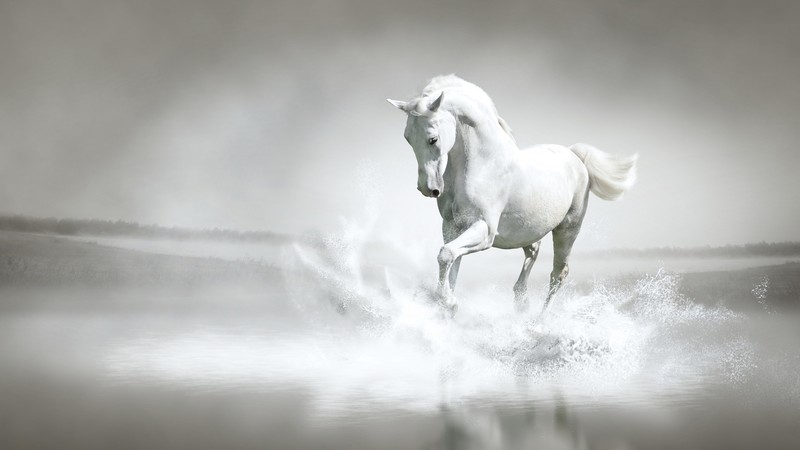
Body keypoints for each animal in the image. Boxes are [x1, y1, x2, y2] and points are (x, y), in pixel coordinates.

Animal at [387, 75, 638, 315]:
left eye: (433, 139)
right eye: (408, 138)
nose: (428, 188)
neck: (483, 165)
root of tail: (575, 156)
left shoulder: (484, 230)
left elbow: (446, 255)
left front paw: (449, 302)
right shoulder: (452, 227)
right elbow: (451, 262)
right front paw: (447, 305)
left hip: (567, 229)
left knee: (558, 274)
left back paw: (538, 321)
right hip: (527, 230)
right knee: (534, 252)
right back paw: (521, 301)